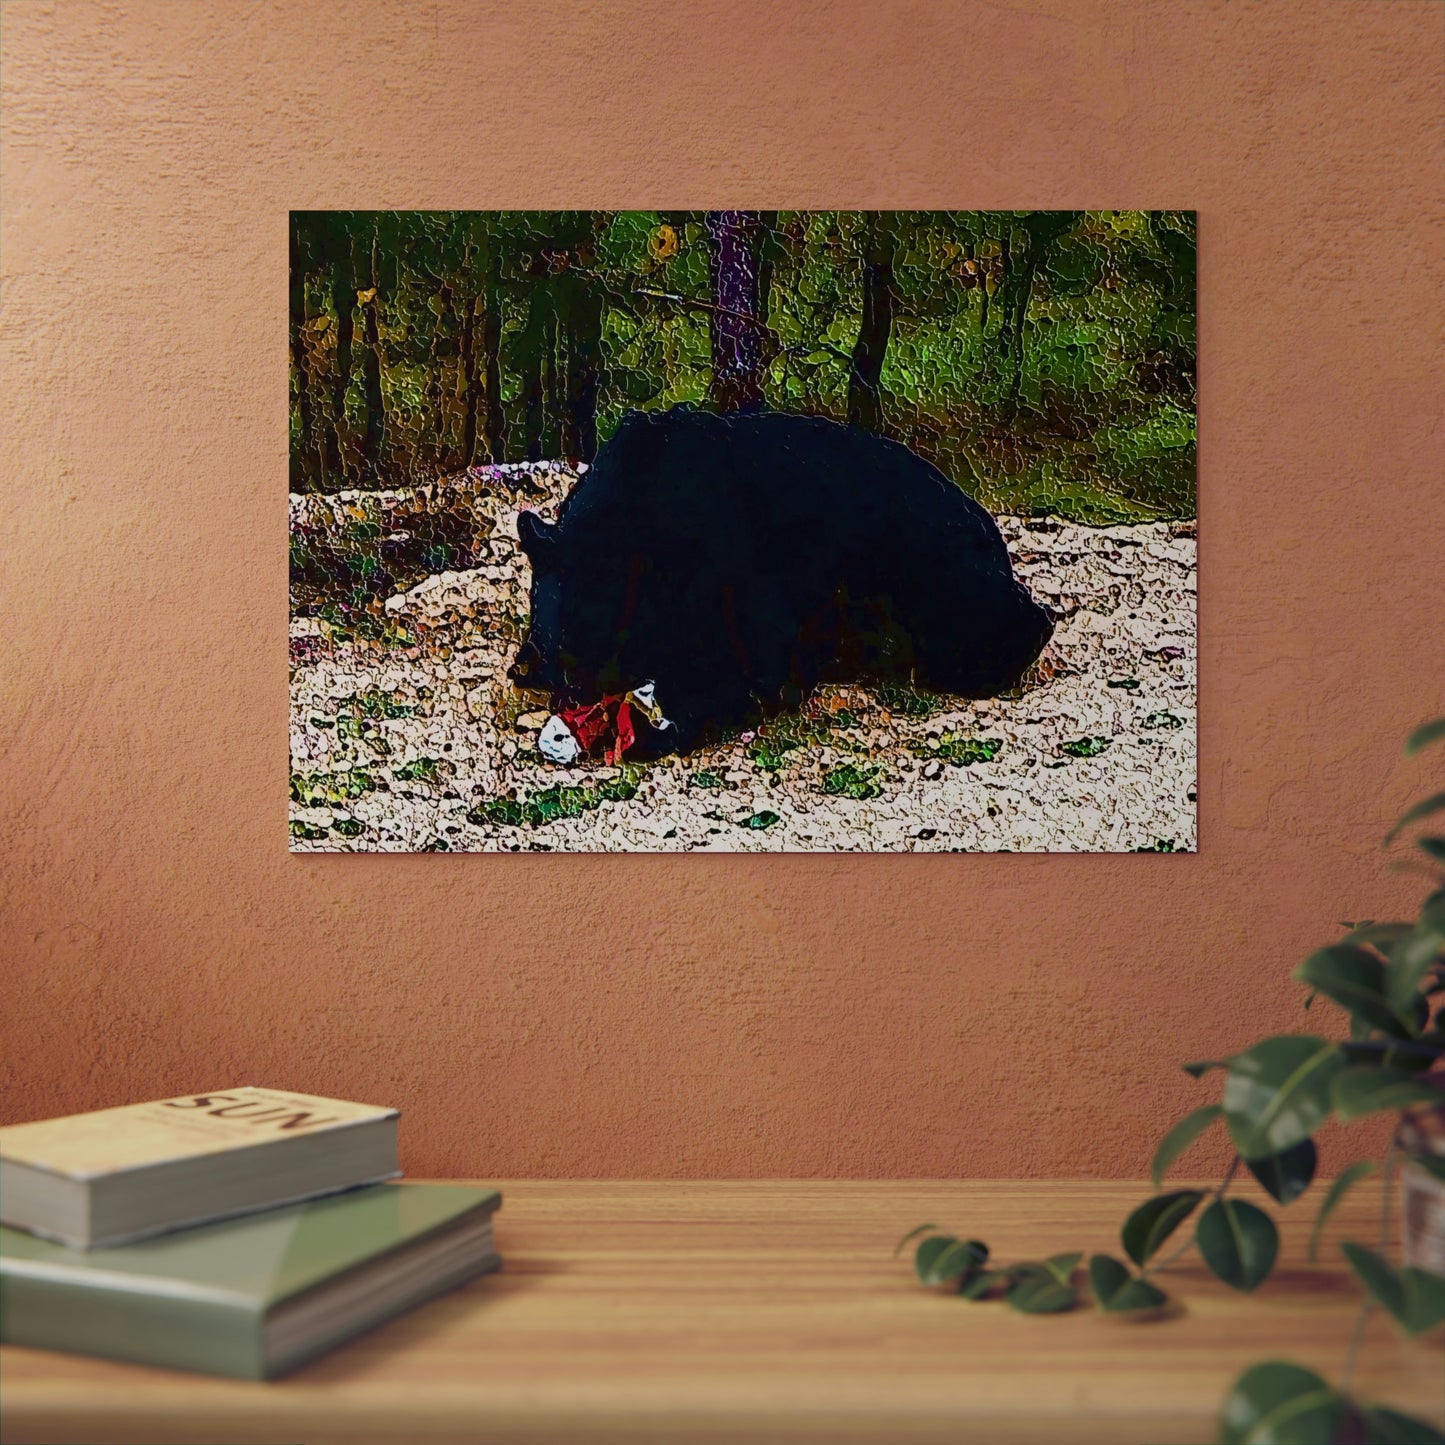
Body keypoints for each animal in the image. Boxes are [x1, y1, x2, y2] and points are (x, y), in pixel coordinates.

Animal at [509, 407, 1054, 757]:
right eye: (560, 644)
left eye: (597, 637)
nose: (573, 697)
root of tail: (985, 521)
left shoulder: (736, 576)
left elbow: (746, 674)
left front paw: (658, 729)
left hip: (934, 574)